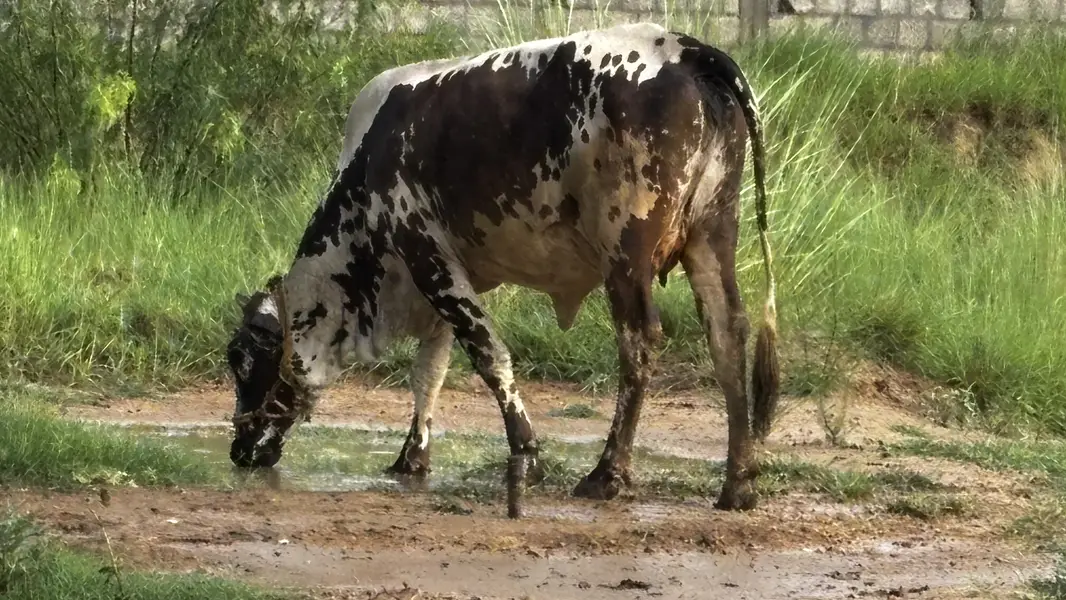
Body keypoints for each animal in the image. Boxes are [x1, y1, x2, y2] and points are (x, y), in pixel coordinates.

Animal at [226, 22, 780, 515]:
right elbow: (430, 372)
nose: (239, 450)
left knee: (640, 341)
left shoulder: (426, 254)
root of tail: (685, 49)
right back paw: (738, 483)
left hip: (626, 255)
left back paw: (607, 474)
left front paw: (527, 454)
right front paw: (411, 459)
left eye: (243, 361)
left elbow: (489, 357)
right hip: (712, 233)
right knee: (728, 334)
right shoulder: (441, 275)